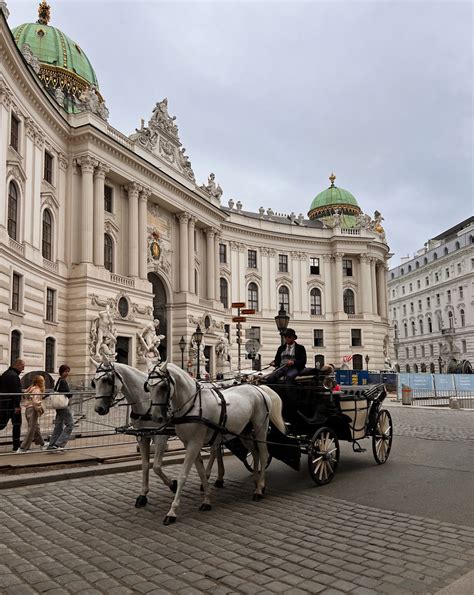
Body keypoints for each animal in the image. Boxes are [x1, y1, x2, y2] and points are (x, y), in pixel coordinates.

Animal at [146, 360, 286, 524]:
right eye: (148, 386)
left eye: (163, 386)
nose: (156, 418)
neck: (192, 405)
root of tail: (258, 388)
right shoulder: (190, 444)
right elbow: (201, 472)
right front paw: (206, 500)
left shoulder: (194, 444)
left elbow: (183, 476)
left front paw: (172, 512)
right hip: (244, 433)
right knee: (255, 452)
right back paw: (257, 481)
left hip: (260, 429)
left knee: (263, 455)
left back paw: (259, 489)